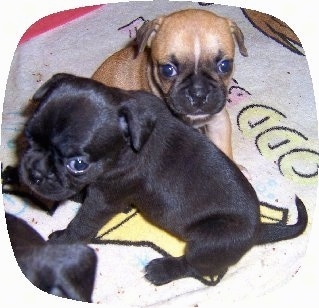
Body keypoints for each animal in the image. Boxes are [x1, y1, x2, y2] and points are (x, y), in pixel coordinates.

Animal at [19, 73, 308, 286]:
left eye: (77, 164)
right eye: (28, 136)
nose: (34, 174)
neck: (128, 142)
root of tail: (258, 230)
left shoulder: (104, 198)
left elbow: (83, 222)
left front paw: (63, 240)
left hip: (209, 239)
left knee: (196, 267)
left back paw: (164, 270)